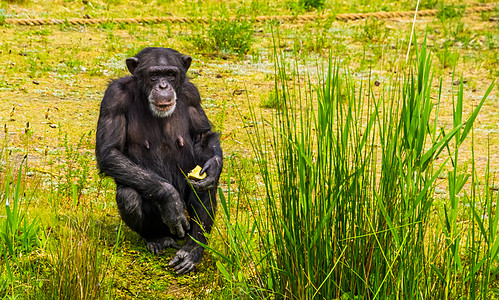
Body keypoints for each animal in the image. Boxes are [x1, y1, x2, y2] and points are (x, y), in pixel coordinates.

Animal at [95, 47, 223, 274]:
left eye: (170, 74)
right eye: (154, 75)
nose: (163, 85)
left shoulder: (192, 95)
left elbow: (202, 137)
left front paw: (214, 166)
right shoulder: (113, 98)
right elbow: (109, 151)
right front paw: (170, 198)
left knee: (206, 188)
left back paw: (192, 250)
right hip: (168, 227)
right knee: (128, 195)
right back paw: (157, 239)